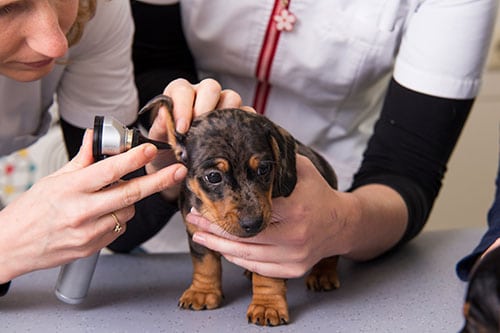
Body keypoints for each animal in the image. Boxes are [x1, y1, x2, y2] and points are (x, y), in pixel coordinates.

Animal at [141, 93, 340, 324]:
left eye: (264, 168)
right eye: (213, 176)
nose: (252, 223)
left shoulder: (274, 250)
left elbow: (267, 277)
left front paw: (267, 306)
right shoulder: (197, 232)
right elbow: (205, 263)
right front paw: (203, 292)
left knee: (330, 251)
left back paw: (323, 274)